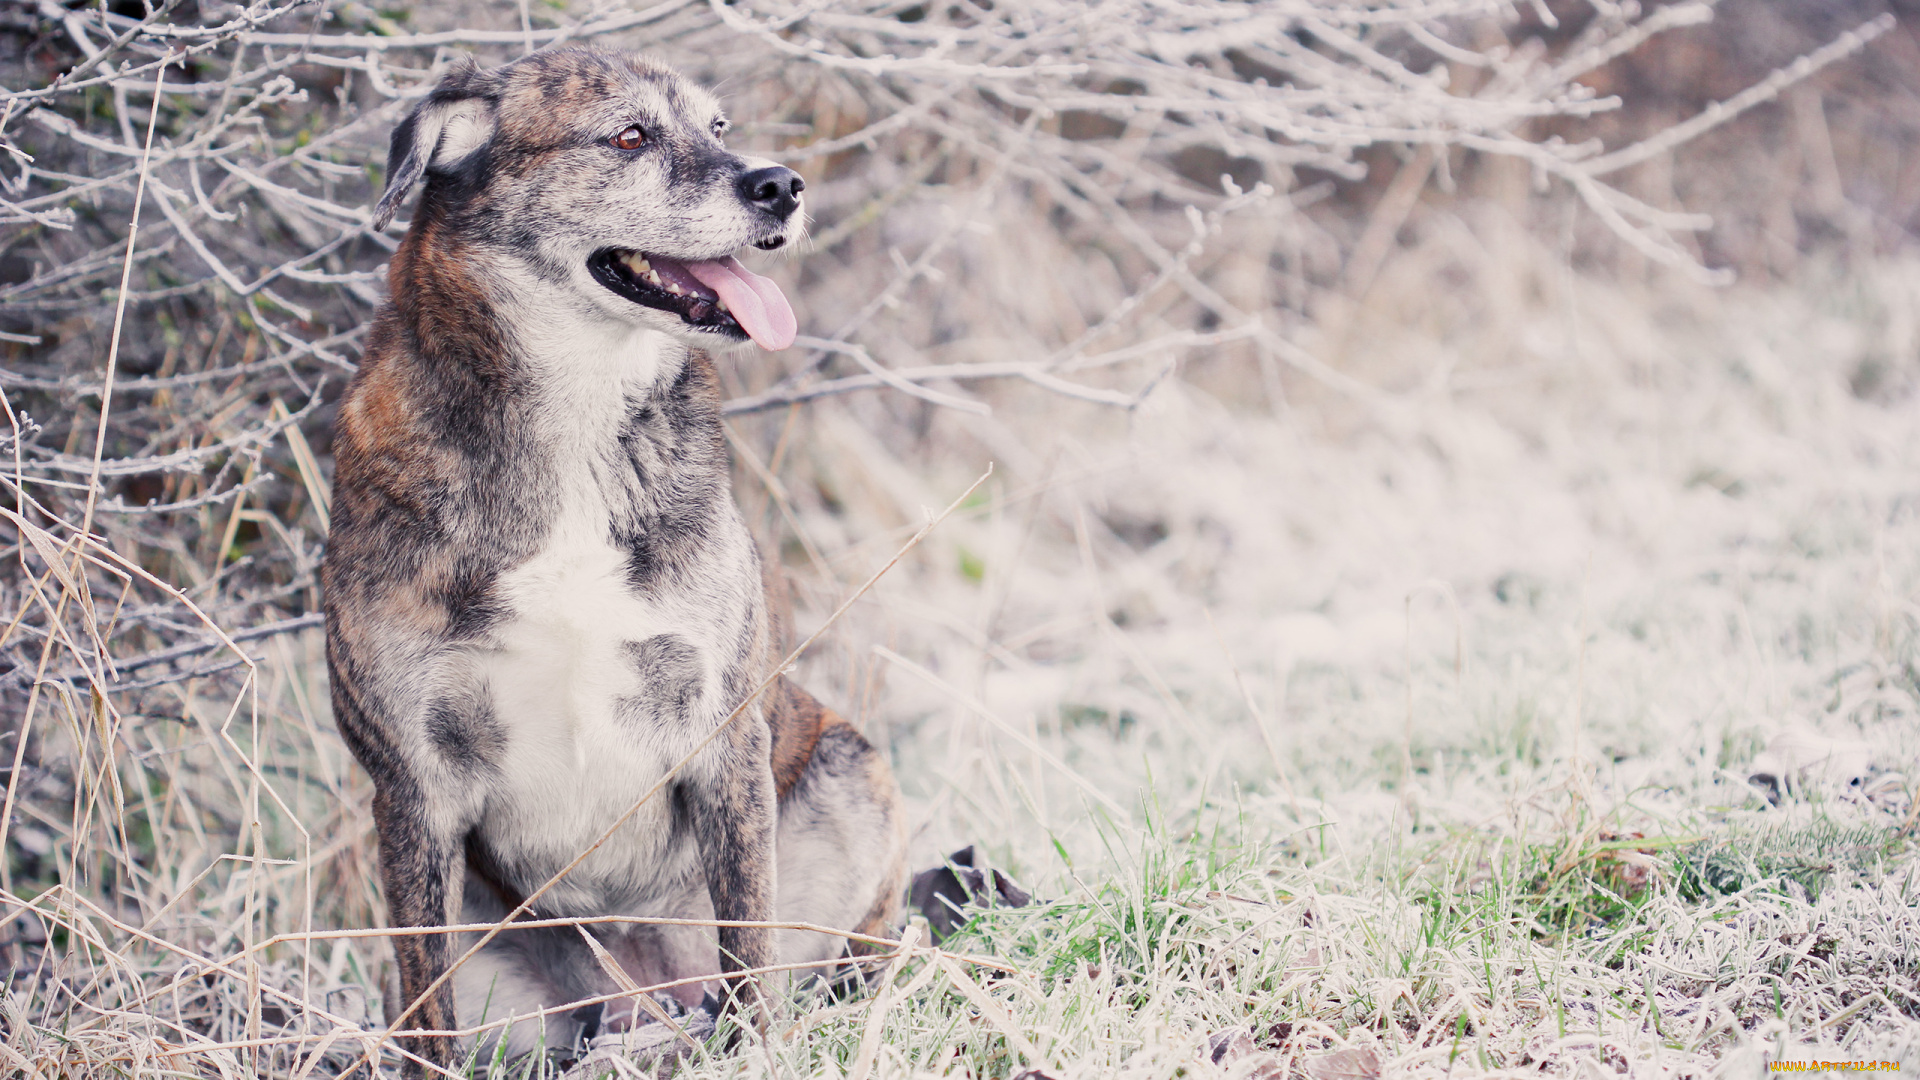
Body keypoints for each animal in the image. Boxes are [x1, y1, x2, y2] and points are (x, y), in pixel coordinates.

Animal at [320, 50, 906, 1068]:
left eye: (718, 126)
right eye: (629, 136)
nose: (783, 185)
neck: (577, 421)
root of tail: (650, 997)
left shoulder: (722, 733)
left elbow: (749, 933)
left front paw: (757, 1048)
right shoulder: (414, 787)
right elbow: (425, 1005)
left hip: (851, 776)